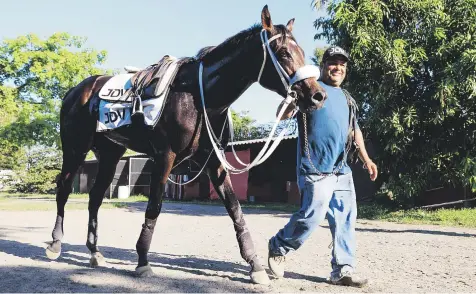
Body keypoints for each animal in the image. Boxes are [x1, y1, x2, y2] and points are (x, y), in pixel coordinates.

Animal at [45, 5, 328, 284]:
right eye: (283, 53)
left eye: (302, 52)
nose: (317, 95)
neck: (199, 97)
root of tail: (75, 92)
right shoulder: (165, 156)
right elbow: (155, 206)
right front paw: (143, 261)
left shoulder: (214, 161)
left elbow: (235, 209)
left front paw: (255, 265)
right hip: (75, 149)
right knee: (64, 190)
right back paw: (55, 244)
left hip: (110, 155)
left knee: (95, 197)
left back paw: (95, 252)